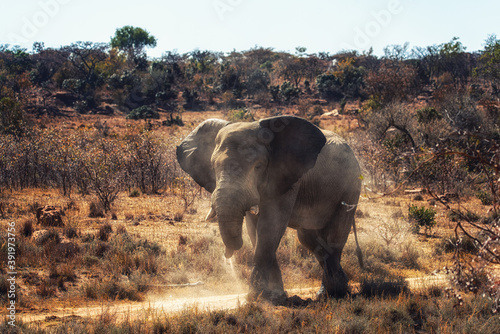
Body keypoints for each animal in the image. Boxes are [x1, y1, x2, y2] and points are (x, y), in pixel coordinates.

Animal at [177, 115, 364, 302]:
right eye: (213, 167)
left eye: (258, 166)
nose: (228, 256)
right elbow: (255, 230)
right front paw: (274, 295)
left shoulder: (287, 174)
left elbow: (270, 226)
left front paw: (257, 295)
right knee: (309, 239)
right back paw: (331, 290)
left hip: (351, 185)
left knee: (335, 236)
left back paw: (336, 293)